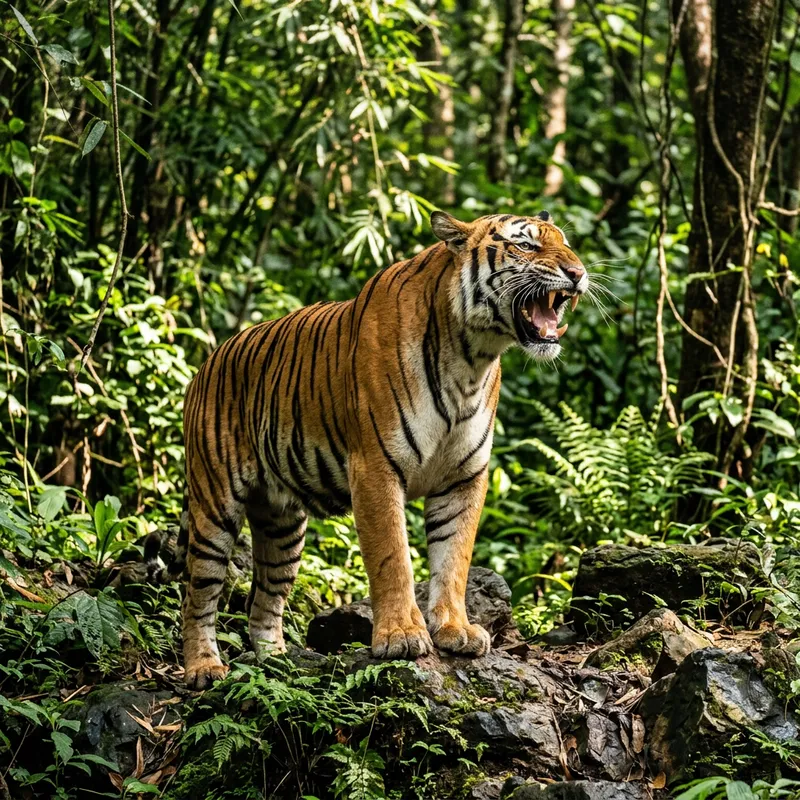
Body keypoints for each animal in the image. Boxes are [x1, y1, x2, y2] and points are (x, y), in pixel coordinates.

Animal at [168, 210, 588, 689]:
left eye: (567, 245)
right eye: (526, 245)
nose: (578, 274)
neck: (472, 357)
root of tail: (205, 364)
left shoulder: (463, 477)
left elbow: (454, 559)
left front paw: (455, 630)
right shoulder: (375, 467)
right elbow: (393, 557)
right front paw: (401, 636)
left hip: (282, 525)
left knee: (265, 598)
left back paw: (277, 663)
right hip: (215, 506)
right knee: (197, 594)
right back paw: (204, 668)